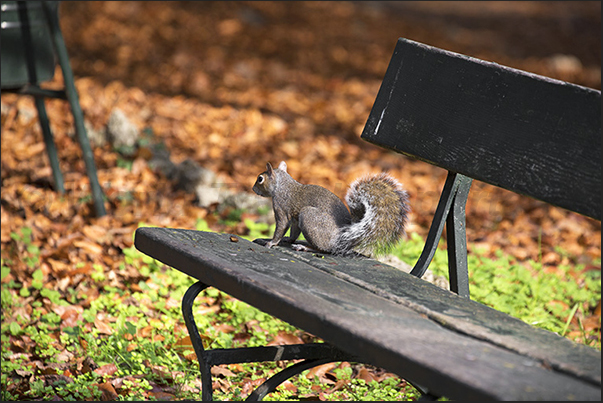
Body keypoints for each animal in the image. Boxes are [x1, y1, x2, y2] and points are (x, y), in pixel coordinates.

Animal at [250, 160, 410, 256]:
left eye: (260, 179)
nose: (253, 189)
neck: (282, 185)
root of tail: (342, 238)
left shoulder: (281, 207)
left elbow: (281, 227)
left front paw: (271, 242)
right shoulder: (295, 219)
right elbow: (294, 231)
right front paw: (288, 239)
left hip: (308, 216)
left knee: (324, 249)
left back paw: (305, 247)